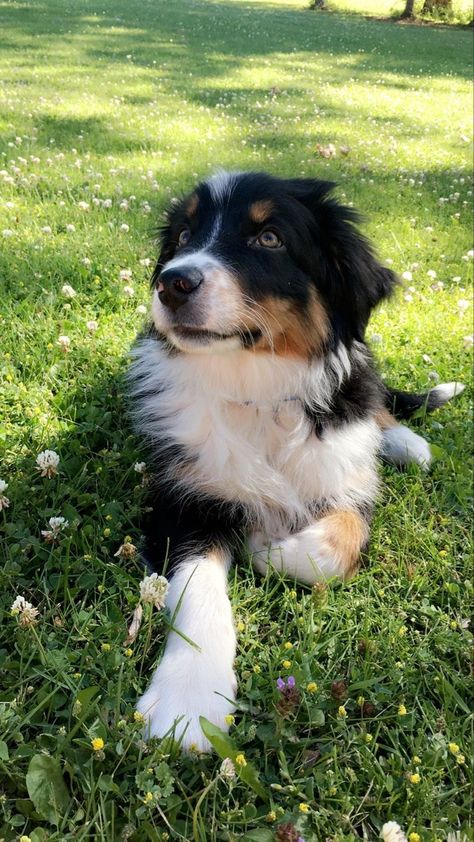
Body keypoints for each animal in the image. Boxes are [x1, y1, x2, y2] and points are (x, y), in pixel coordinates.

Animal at [128, 169, 464, 748]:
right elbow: (196, 590)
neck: (255, 386)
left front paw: (269, 550)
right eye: (184, 236)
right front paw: (188, 700)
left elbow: (342, 539)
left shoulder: (345, 471)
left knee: (374, 396)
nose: (171, 283)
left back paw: (407, 443)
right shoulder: (184, 497)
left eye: (270, 238)